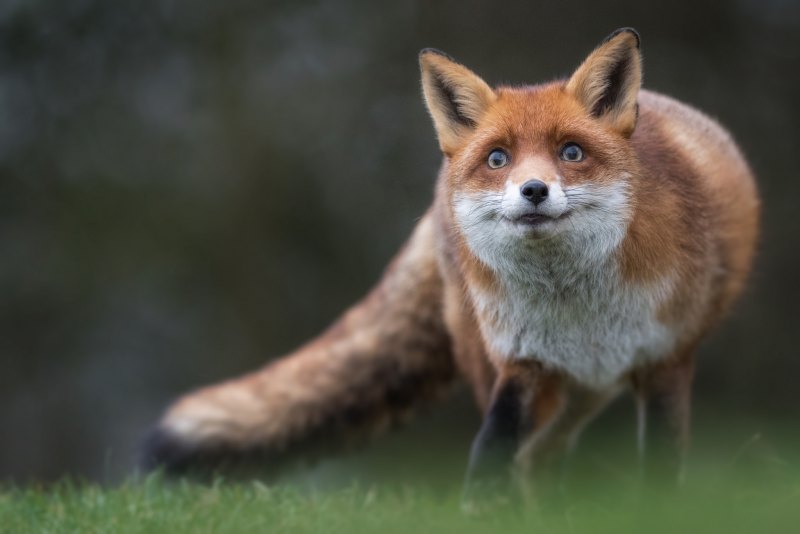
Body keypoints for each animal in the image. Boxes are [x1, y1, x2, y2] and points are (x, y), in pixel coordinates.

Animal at [141, 29, 760, 506]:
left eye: (571, 152)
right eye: (498, 158)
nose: (533, 190)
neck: (578, 306)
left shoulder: (664, 360)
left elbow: (660, 466)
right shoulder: (522, 359)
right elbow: (493, 444)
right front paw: (482, 510)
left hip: (588, 390)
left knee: (547, 456)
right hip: (505, 363)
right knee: (536, 456)